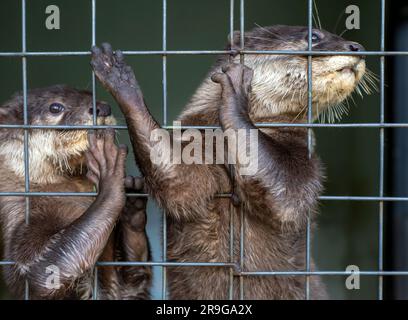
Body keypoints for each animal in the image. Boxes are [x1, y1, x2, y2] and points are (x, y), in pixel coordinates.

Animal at [0, 85, 151, 300]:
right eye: (55, 107)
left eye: (90, 94)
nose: (103, 108)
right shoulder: (18, 219)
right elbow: (41, 274)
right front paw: (109, 171)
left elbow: (131, 288)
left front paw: (132, 210)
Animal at [91, 25, 372, 300]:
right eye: (313, 35)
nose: (357, 46)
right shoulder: (195, 138)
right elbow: (181, 183)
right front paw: (119, 77)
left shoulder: (304, 152)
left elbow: (289, 195)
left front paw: (237, 91)